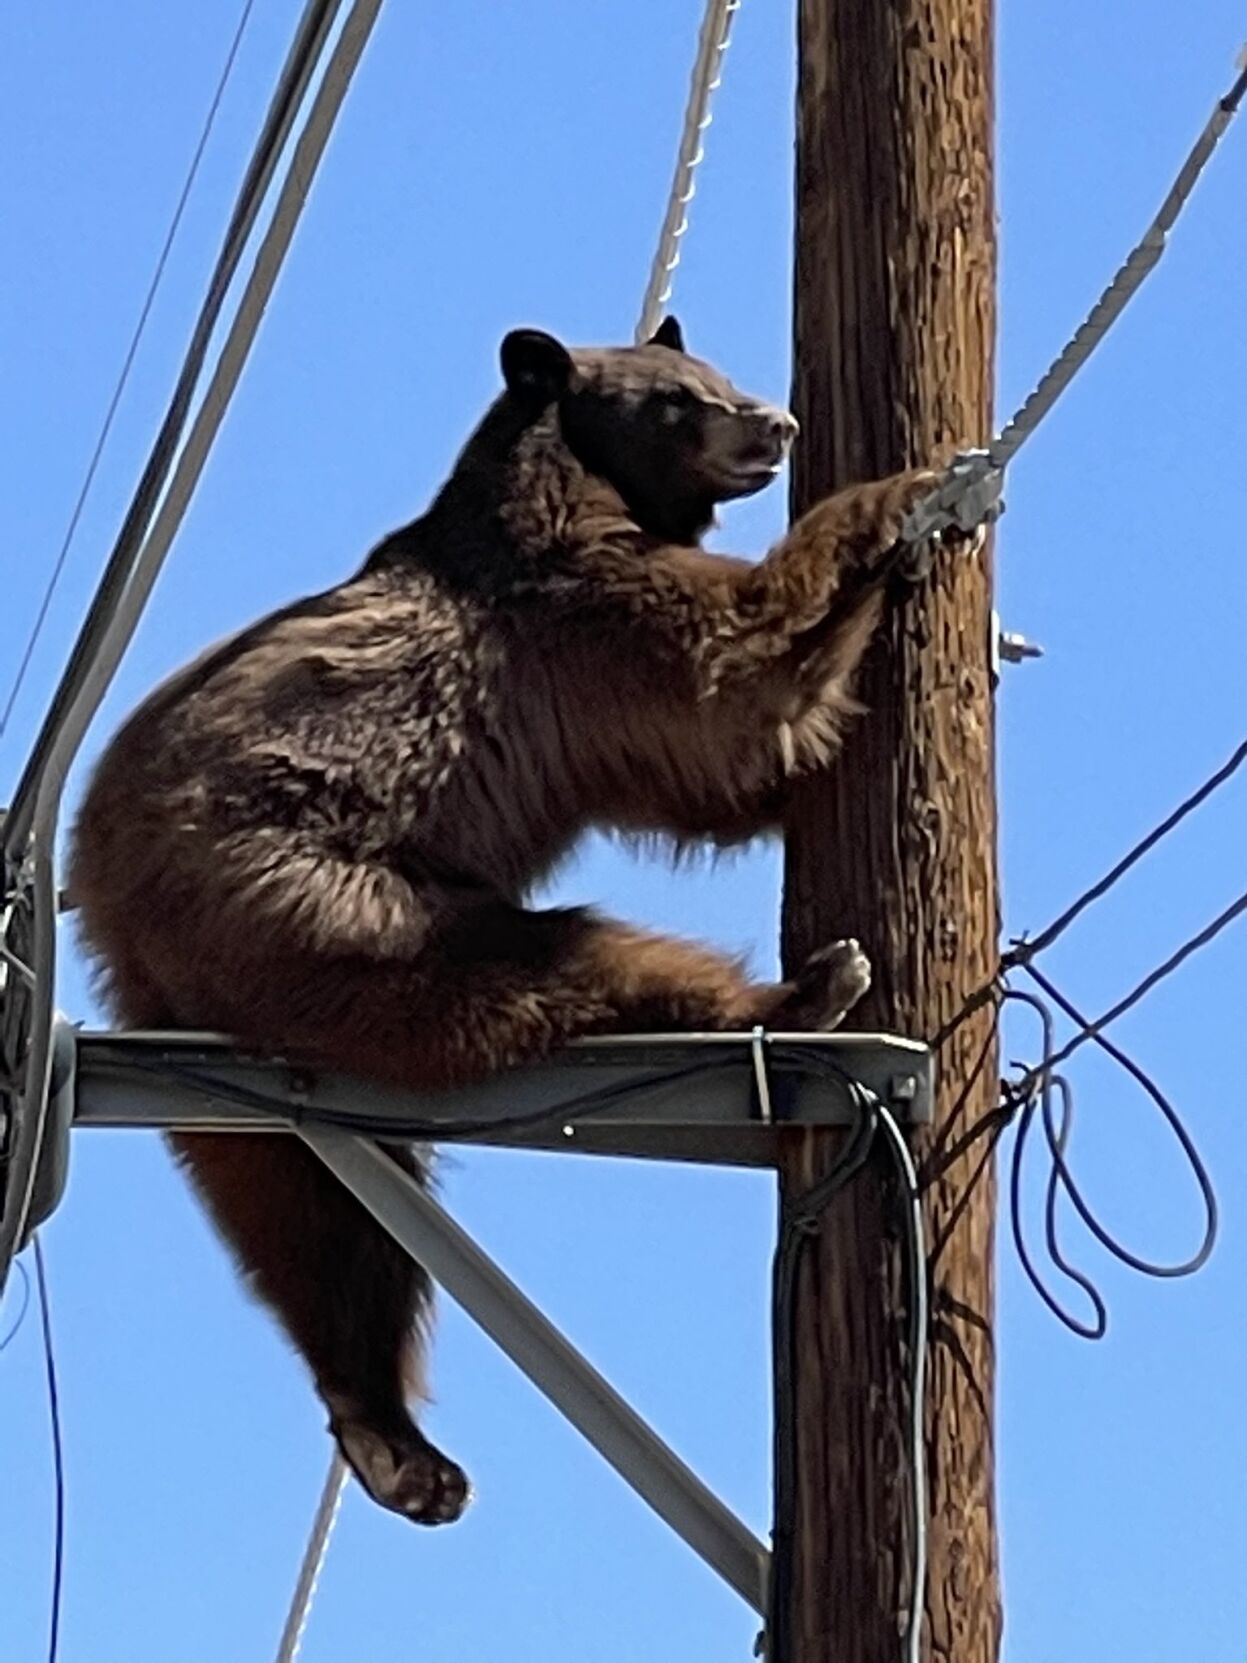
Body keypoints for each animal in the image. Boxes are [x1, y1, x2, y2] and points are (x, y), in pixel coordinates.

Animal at [68, 315, 942, 1526]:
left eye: (714, 374)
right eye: (678, 397)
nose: (775, 422)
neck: (566, 483)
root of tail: (104, 878)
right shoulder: (569, 616)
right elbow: (726, 682)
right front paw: (908, 496)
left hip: (227, 1027)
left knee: (298, 1211)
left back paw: (391, 1438)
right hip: (324, 898)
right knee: (546, 965)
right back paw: (806, 989)